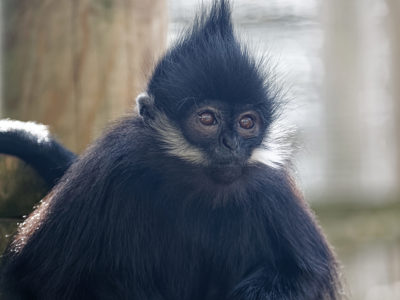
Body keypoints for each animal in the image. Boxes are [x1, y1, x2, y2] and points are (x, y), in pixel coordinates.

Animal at [0, 1, 340, 298]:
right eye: (207, 119)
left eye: (247, 122)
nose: (231, 143)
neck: (191, 182)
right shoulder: (112, 161)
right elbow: (26, 277)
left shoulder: (270, 184)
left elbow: (304, 276)